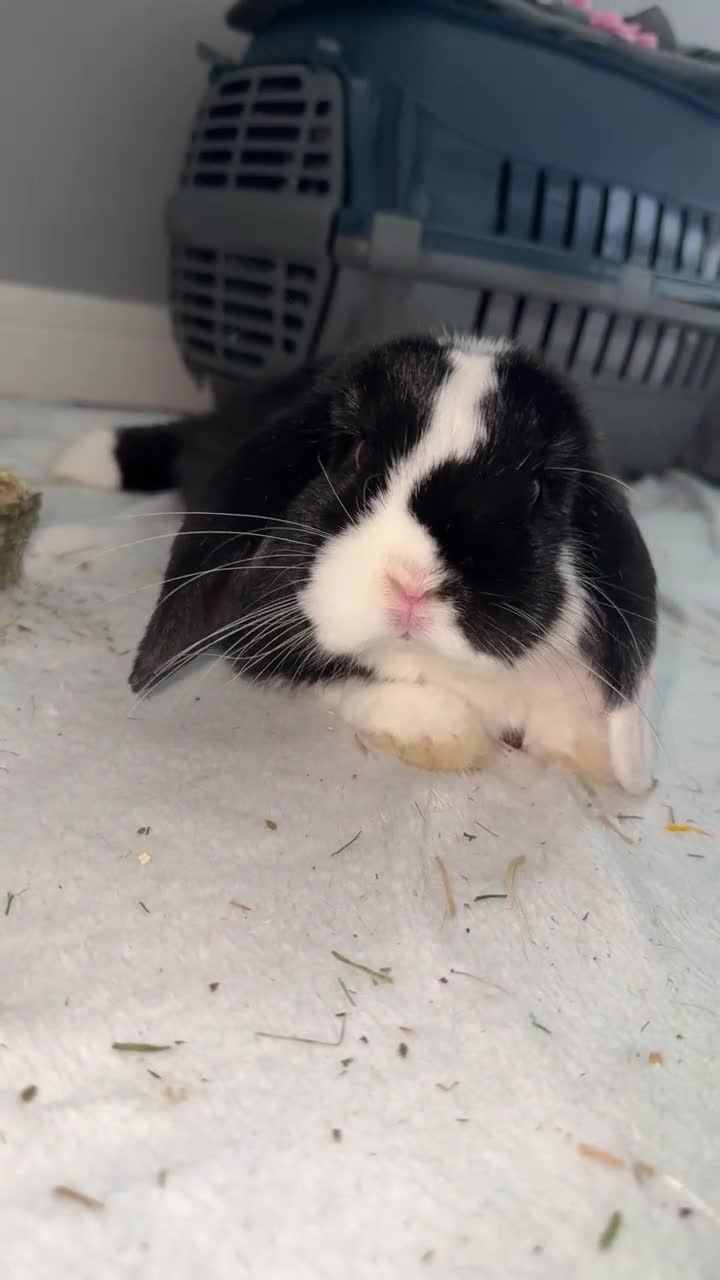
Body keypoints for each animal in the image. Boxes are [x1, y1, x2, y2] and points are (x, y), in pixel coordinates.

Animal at [53, 334, 657, 794]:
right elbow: (346, 675)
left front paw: (584, 750)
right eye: (358, 453)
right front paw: (442, 735)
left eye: (535, 490)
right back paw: (76, 482)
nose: (412, 584)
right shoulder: (262, 636)